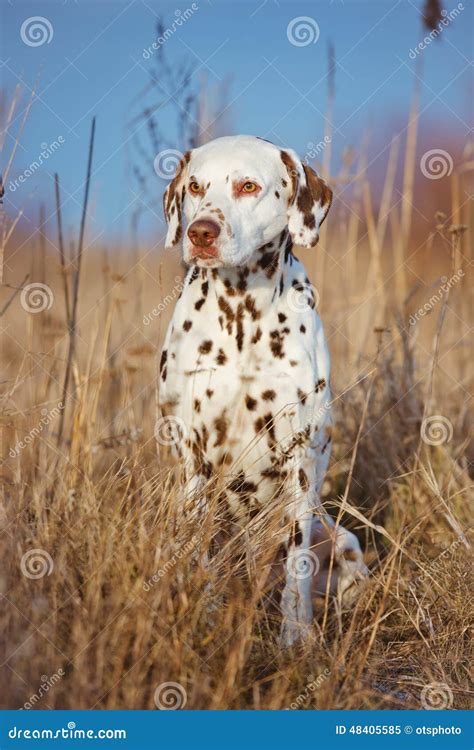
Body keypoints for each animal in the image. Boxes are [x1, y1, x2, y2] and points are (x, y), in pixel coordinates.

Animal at [158, 137, 366, 648]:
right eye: (195, 186)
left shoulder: (302, 460)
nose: (201, 233)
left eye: (248, 186)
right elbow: (202, 547)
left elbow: (297, 563)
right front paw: (204, 617)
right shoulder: (195, 457)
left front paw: (296, 636)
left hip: (345, 543)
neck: (242, 314)